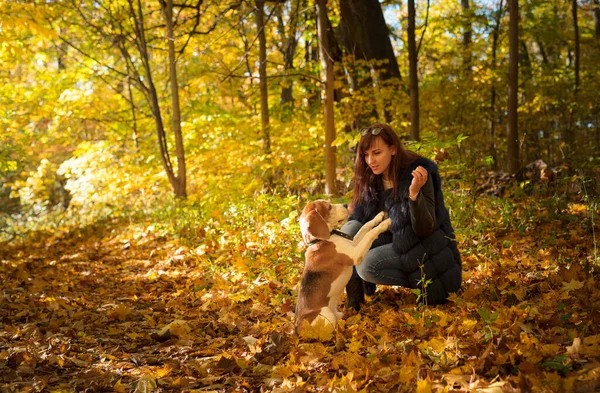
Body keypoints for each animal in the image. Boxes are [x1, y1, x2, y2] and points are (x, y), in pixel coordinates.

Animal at [294, 201, 390, 332]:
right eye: (329, 207)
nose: (345, 205)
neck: (320, 240)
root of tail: (297, 327)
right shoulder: (355, 255)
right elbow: (369, 234)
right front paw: (385, 223)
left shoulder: (353, 244)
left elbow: (364, 228)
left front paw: (378, 217)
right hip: (326, 314)